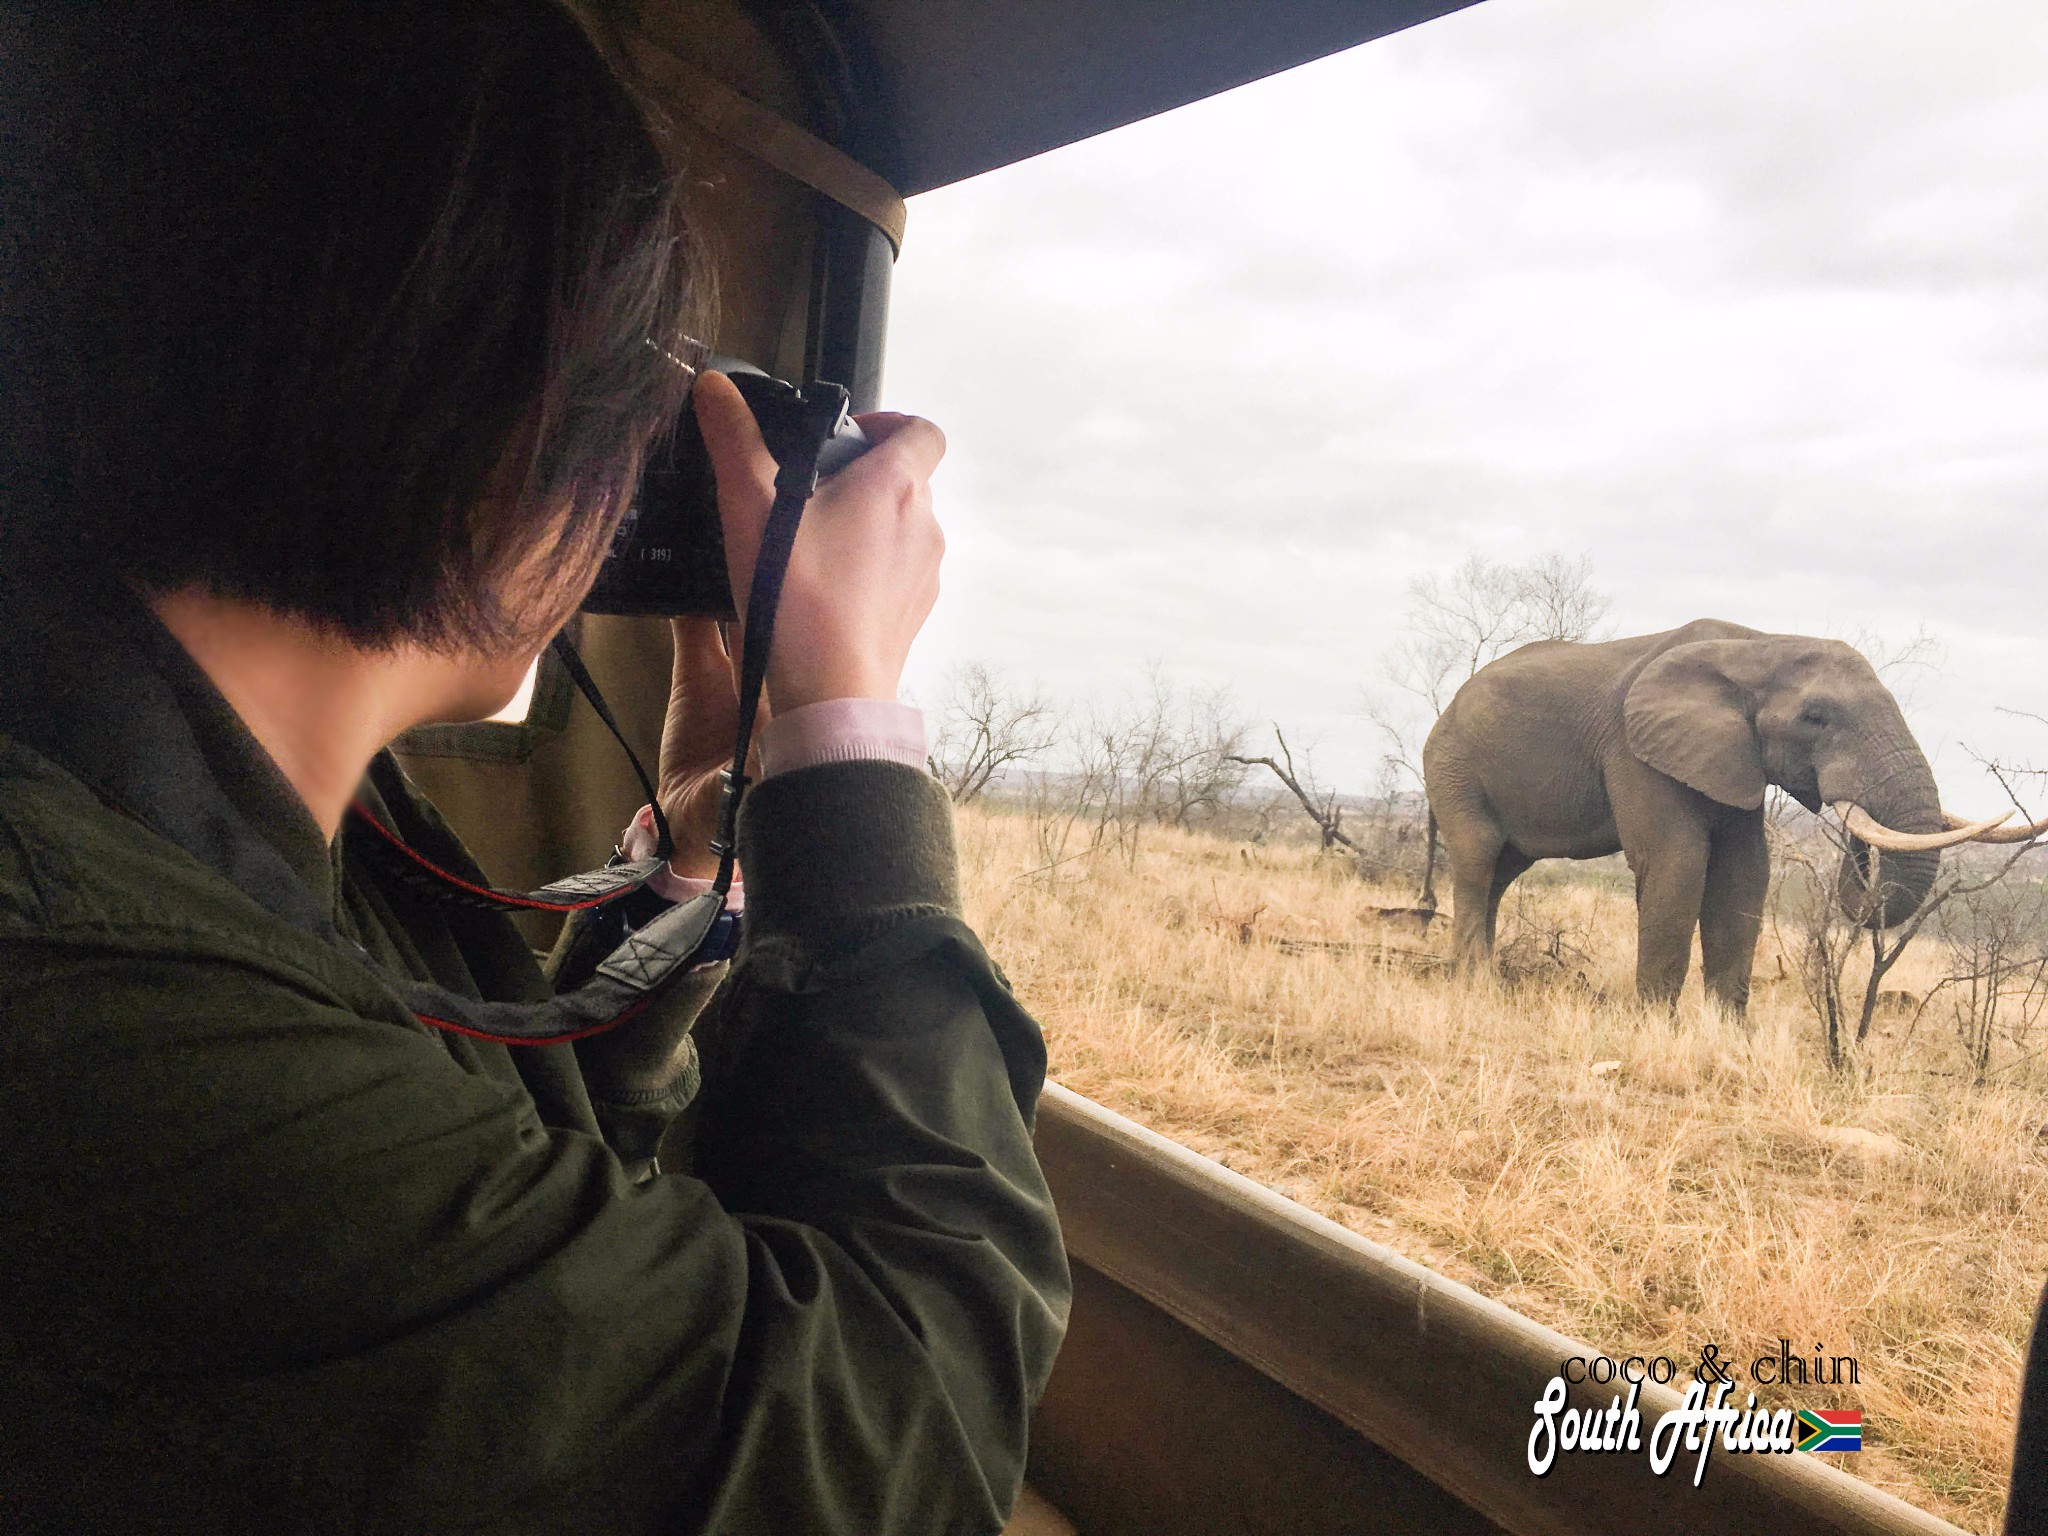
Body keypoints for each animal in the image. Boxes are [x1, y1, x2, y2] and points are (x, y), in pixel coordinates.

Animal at [1425, 618, 2031, 1015]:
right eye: (1815, 718)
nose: (1855, 842)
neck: (1758, 645)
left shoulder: (1736, 760)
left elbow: (1744, 874)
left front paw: (1730, 1032)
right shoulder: (1635, 748)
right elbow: (1678, 863)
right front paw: (1654, 1026)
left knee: (1503, 871)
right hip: (1453, 764)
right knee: (1478, 858)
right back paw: (1474, 987)